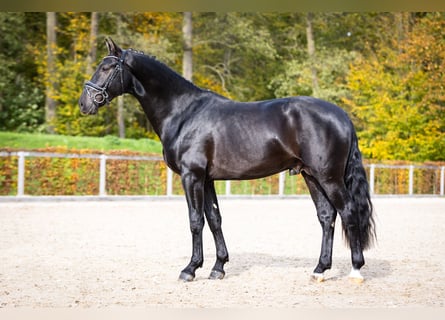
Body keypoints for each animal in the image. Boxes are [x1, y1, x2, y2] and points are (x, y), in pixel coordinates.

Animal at [79, 39, 374, 282]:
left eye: (107, 67)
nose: (84, 103)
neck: (184, 112)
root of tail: (342, 115)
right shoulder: (207, 178)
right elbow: (214, 219)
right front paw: (218, 267)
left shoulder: (192, 176)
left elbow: (195, 220)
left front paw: (190, 269)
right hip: (311, 175)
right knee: (327, 216)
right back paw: (320, 270)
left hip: (329, 177)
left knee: (348, 211)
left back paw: (356, 270)